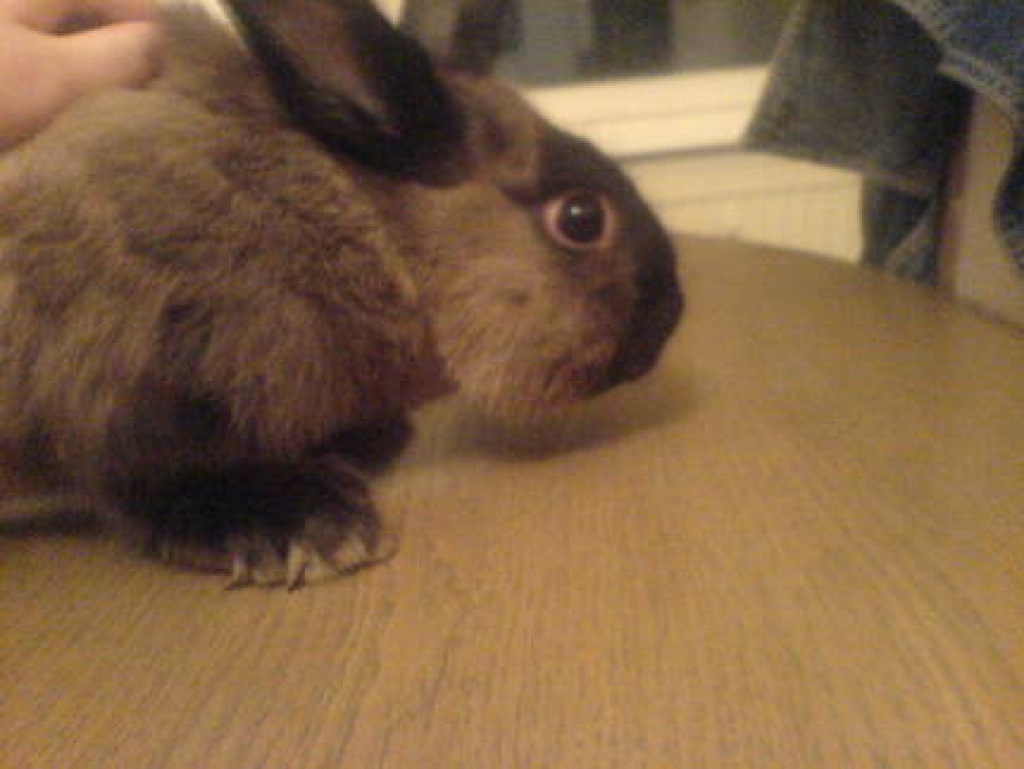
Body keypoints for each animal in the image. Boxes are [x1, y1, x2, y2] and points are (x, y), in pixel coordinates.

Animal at [0, 0, 682, 589]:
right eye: (581, 218)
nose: (671, 318)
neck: (381, 241)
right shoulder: (131, 381)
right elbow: (158, 477)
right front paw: (310, 529)